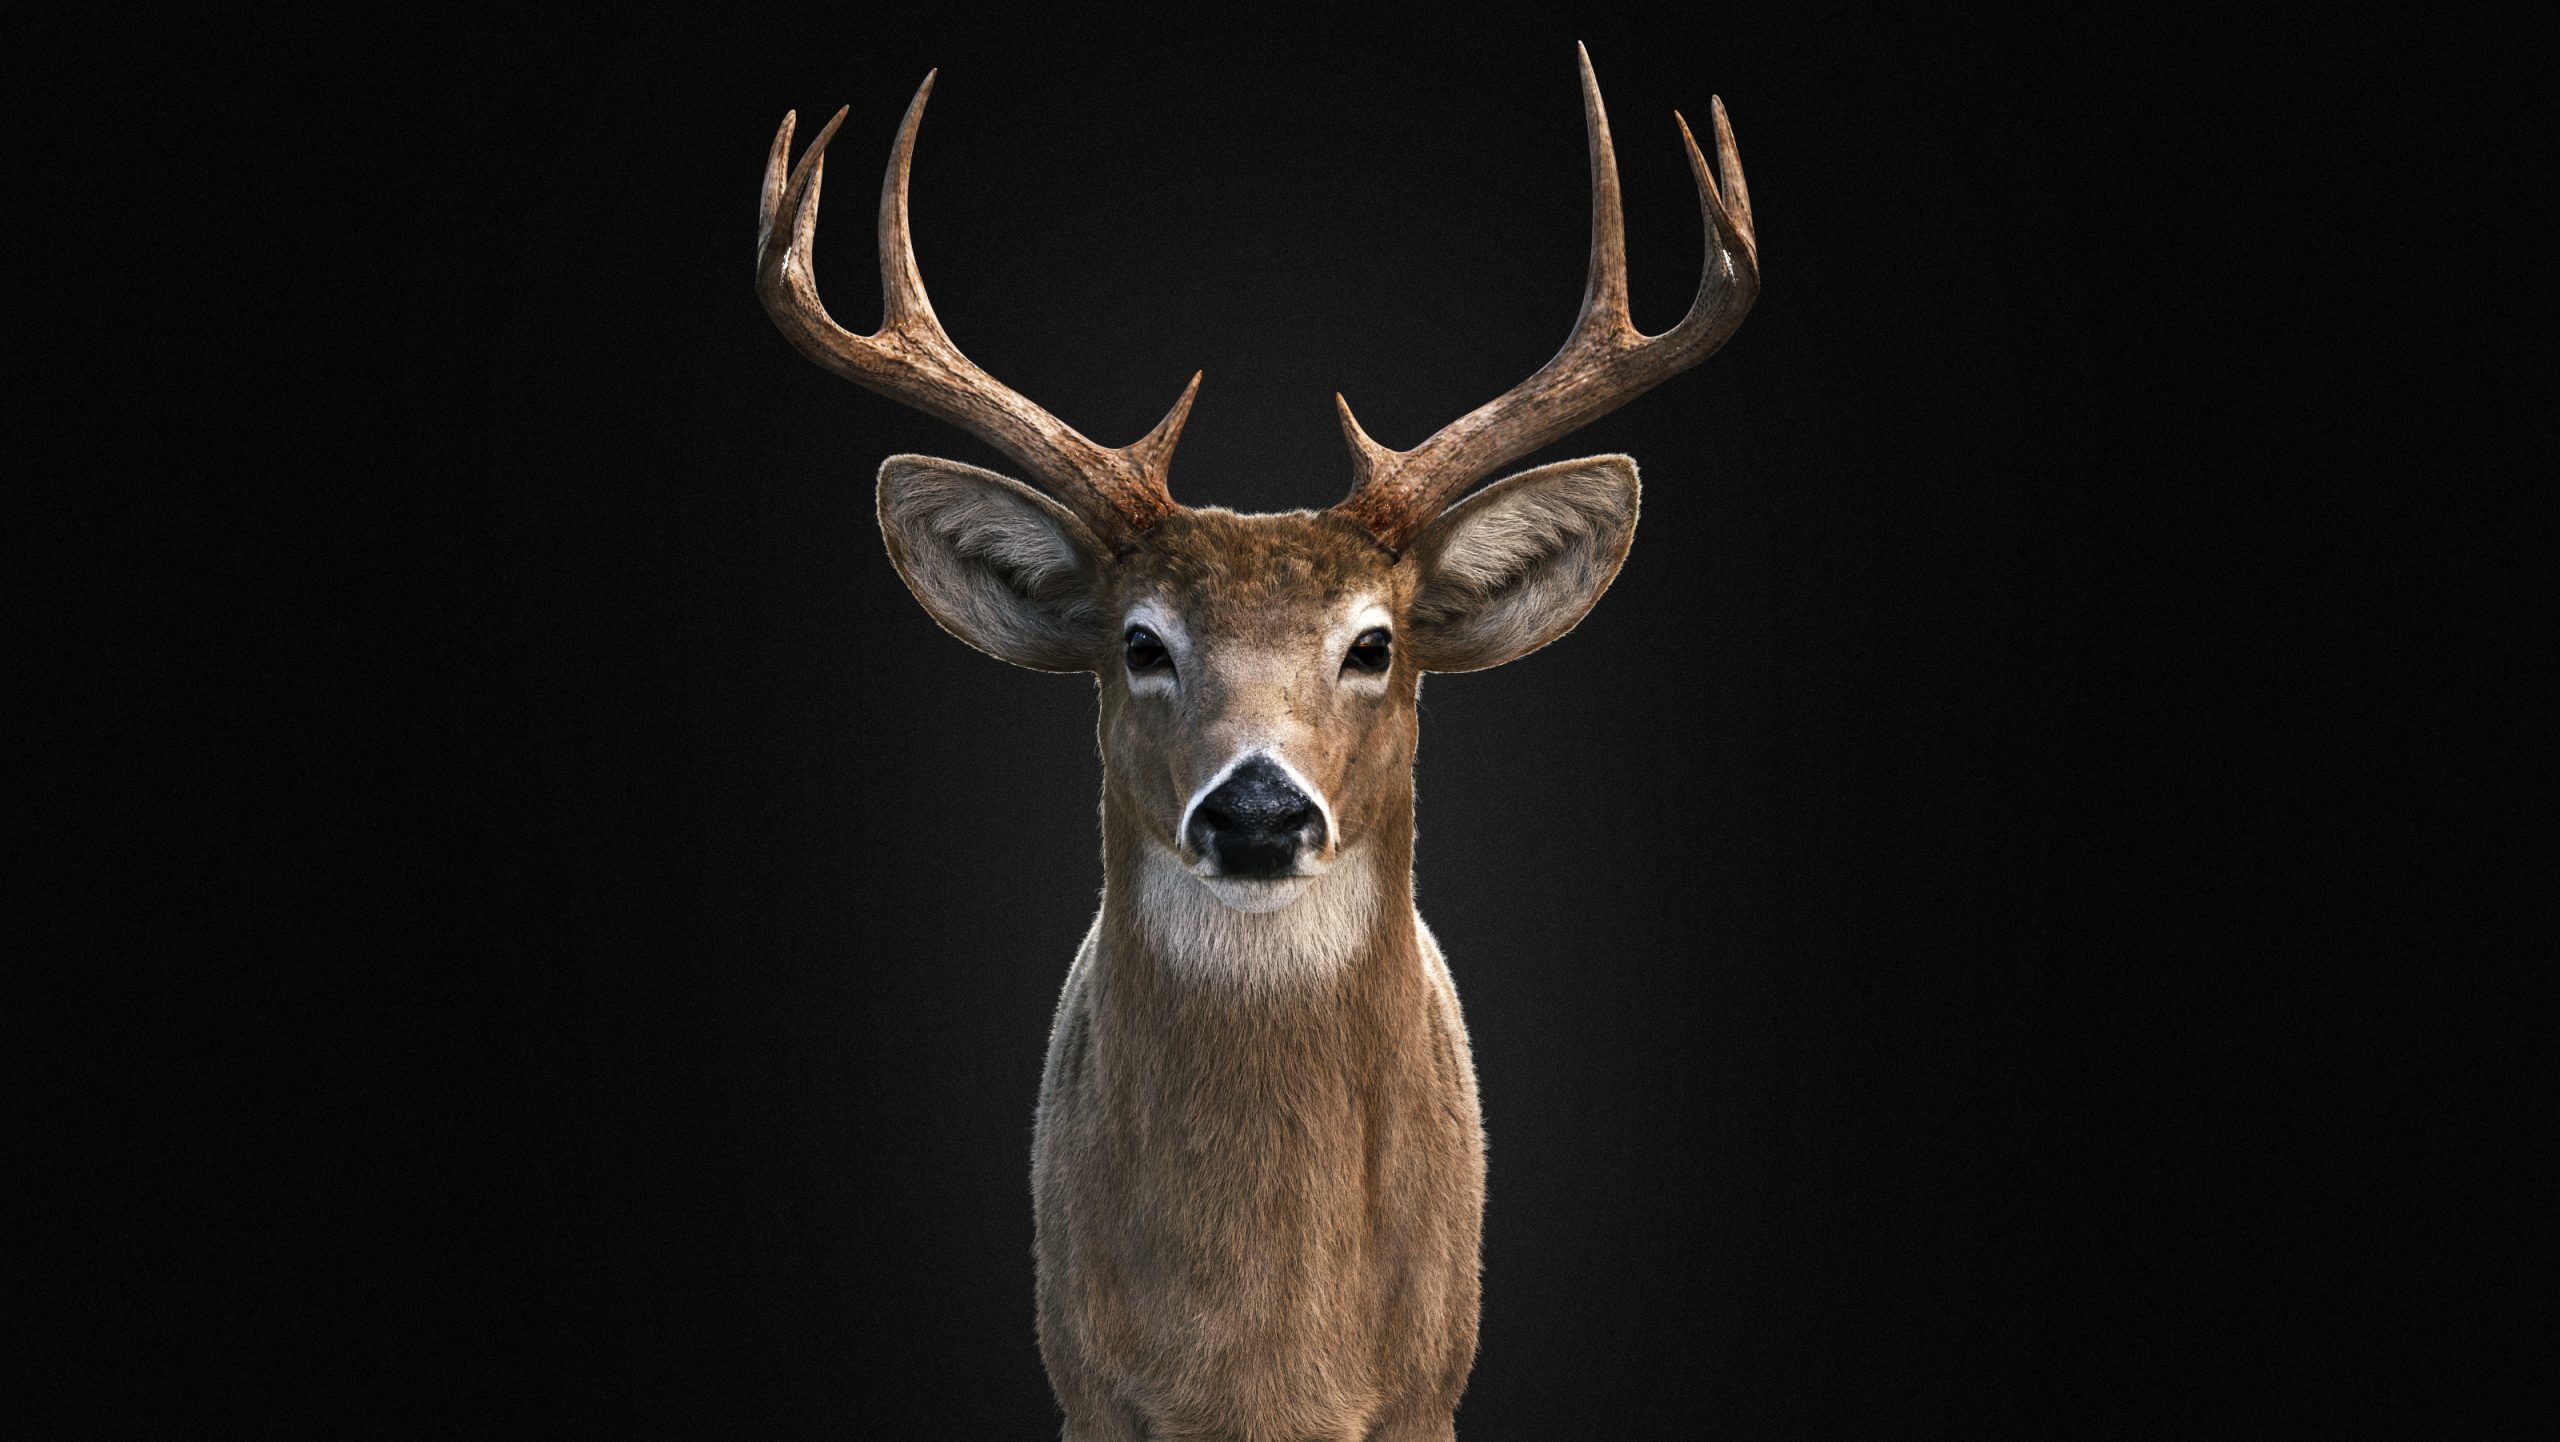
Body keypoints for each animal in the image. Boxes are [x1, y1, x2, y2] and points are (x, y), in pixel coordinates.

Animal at [755, 44, 1758, 1442]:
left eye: (1374, 642)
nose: (1258, 812)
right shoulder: (1088, 1385)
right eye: (1139, 641)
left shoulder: (1428, 1386)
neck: (1267, 1367)